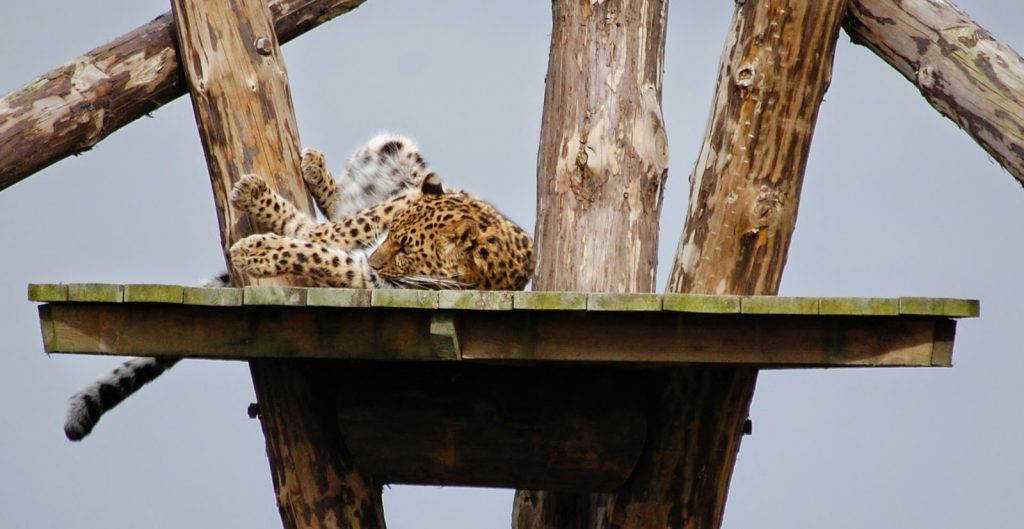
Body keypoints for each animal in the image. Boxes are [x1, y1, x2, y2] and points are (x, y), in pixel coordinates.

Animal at [63, 134, 535, 441]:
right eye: (394, 238)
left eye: (406, 250)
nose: (378, 257)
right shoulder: (380, 222)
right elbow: (330, 232)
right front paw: (262, 204)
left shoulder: (373, 277)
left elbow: (316, 249)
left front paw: (257, 245)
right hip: (398, 153)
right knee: (344, 209)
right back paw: (314, 168)